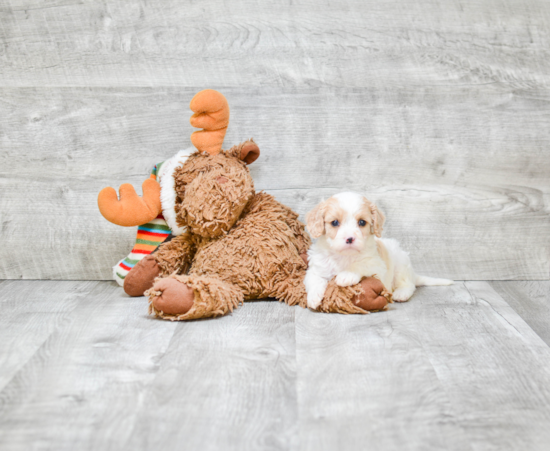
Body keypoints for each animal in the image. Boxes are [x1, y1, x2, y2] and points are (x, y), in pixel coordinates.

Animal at [304, 191, 454, 310]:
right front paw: (313, 297)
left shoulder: (377, 265)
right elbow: (314, 279)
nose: (350, 239)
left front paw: (347, 275)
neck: (344, 256)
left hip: (401, 264)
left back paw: (402, 293)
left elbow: (361, 264)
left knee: (409, 284)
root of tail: (413, 274)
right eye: (334, 222)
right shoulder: (317, 267)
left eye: (362, 222)